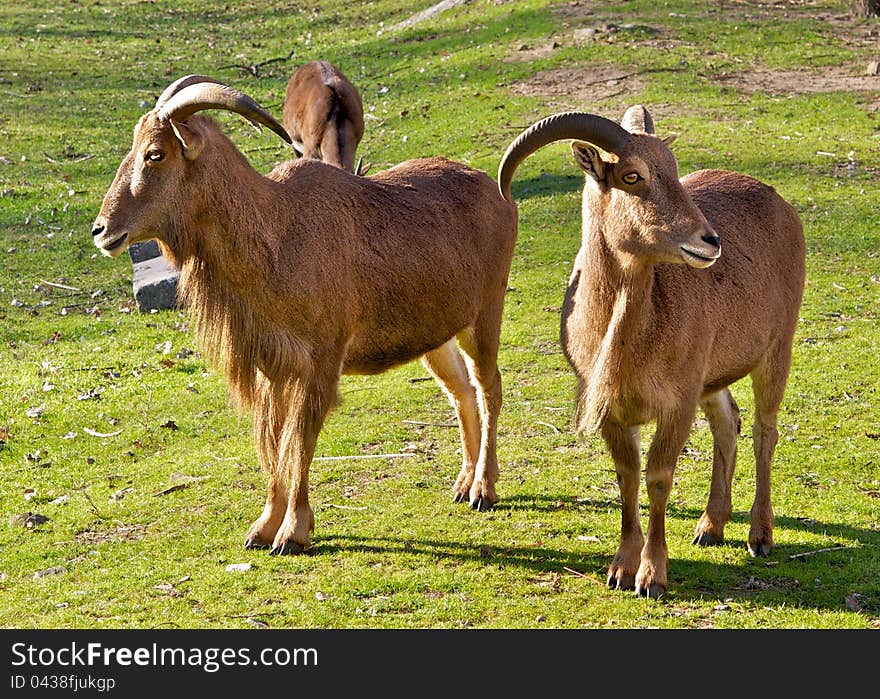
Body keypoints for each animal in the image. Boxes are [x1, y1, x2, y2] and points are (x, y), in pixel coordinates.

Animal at [91, 76, 516, 556]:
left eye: (155, 154)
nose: (101, 230)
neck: (276, 233)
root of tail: (497, 192)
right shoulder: (273, 369)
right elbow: (275, 441)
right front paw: (262, 528)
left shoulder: (319, 364)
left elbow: (299, 442)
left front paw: (292, 531)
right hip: (437, 337)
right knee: (460, 392)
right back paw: (462, 483)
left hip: (485, 316)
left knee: (489, 388)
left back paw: (484, 488)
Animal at [496, 106, 804, 600]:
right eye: (632, 175)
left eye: (675, 170)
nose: (709, 241)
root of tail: (779, 202)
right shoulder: (614, 406)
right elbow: (627, 475)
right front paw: (621, 568)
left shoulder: (676, 403)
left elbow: (659, 478)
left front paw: (652, 575)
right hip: (711, 375)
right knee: (727, 422)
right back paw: (710, 525)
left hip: (777, 349)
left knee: (764, 432)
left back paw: (760, 535)